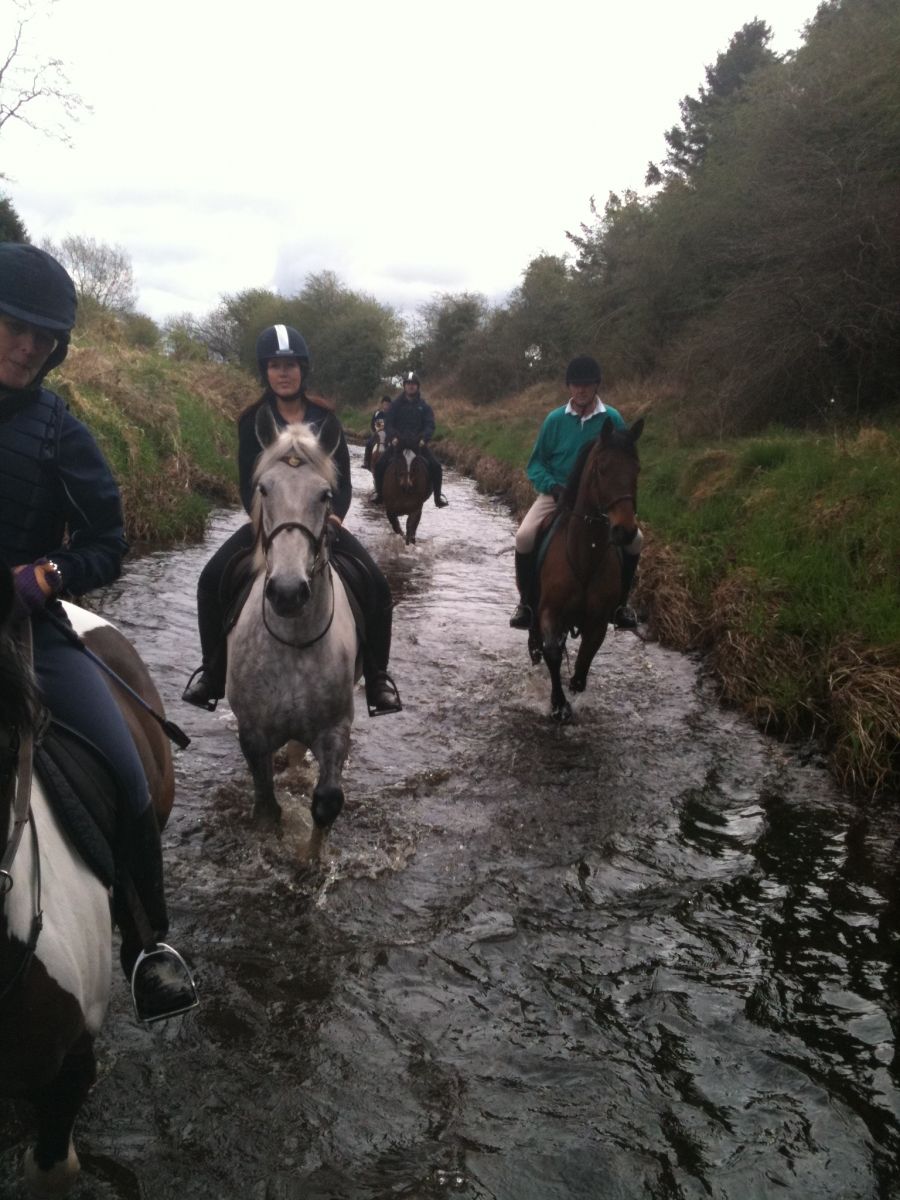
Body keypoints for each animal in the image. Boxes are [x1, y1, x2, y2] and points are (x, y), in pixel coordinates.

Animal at [227, 415, 360, 857]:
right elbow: (267, 807)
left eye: (325, 494)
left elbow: (327, 802)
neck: (294, 640)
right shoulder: (252, 732)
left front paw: (309, 861)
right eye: (264, 489)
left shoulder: (335, 730)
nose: (287, 592)